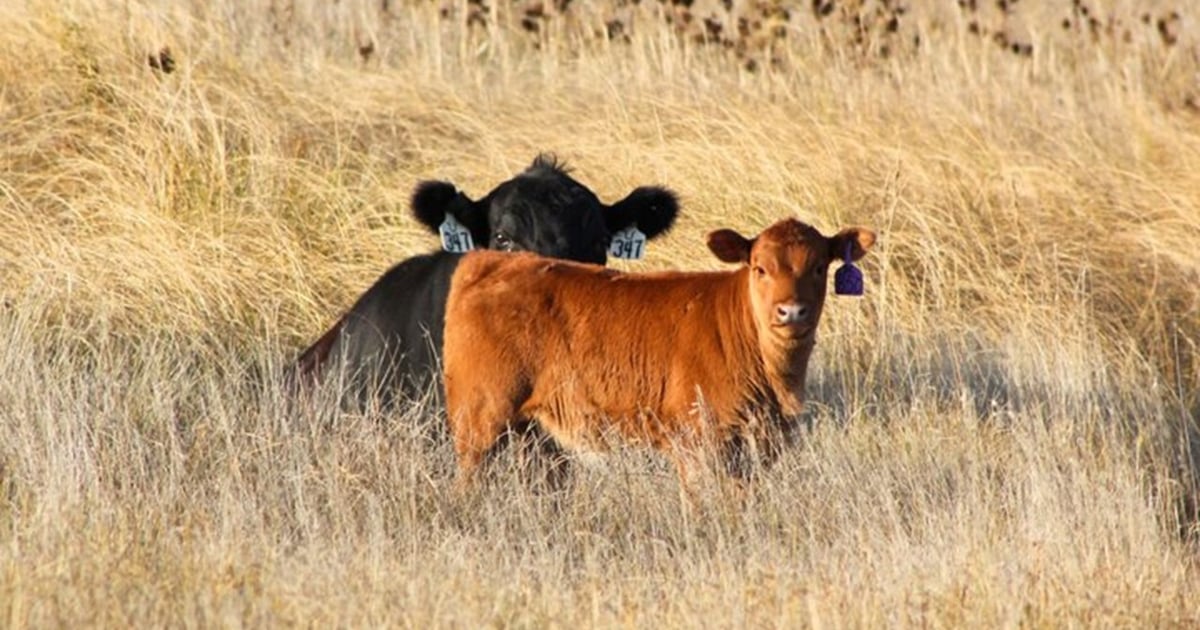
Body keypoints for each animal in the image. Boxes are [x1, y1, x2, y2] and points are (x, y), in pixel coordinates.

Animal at [442, 217, 874, 487]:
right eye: (760, 268)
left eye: (819, 267)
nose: (792, 311)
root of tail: (490, 263)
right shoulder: (697, 440)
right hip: (479, 416)